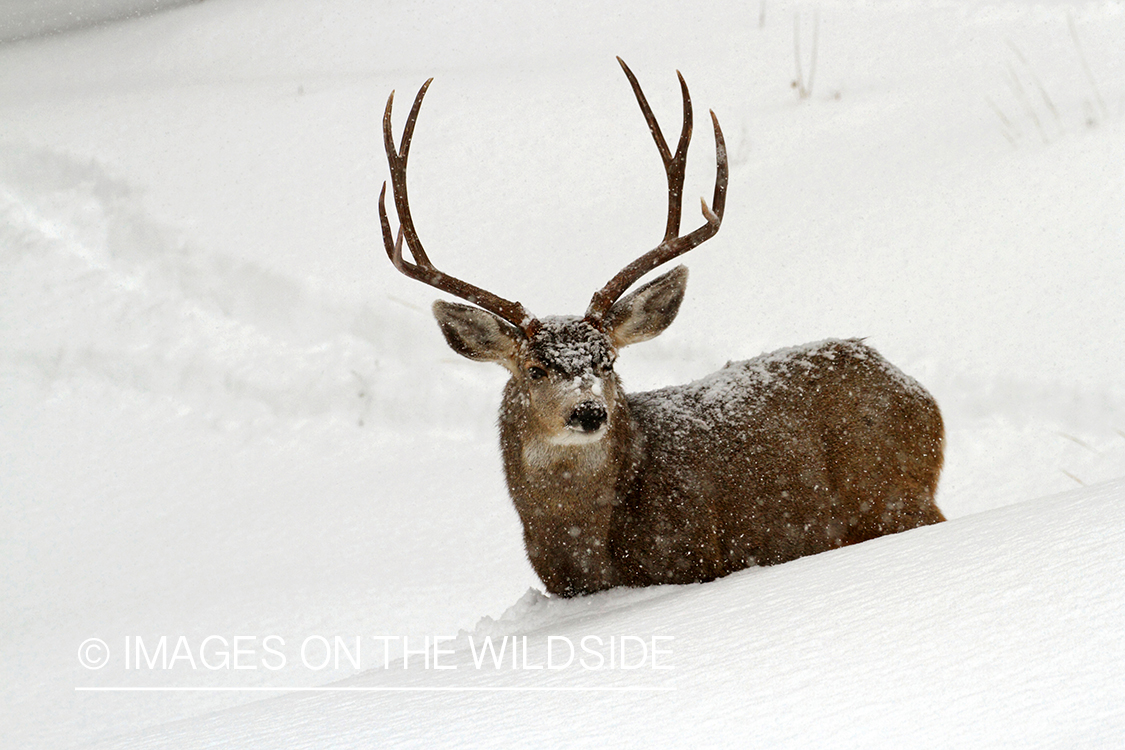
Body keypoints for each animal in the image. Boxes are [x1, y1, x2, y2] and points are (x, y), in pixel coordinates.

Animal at [378, 59, 945, 598]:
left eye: (608, 360)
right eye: (535, 369)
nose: (589, 411)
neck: (586, 551)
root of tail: (917, 393)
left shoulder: (692, 556)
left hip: (894, 495)